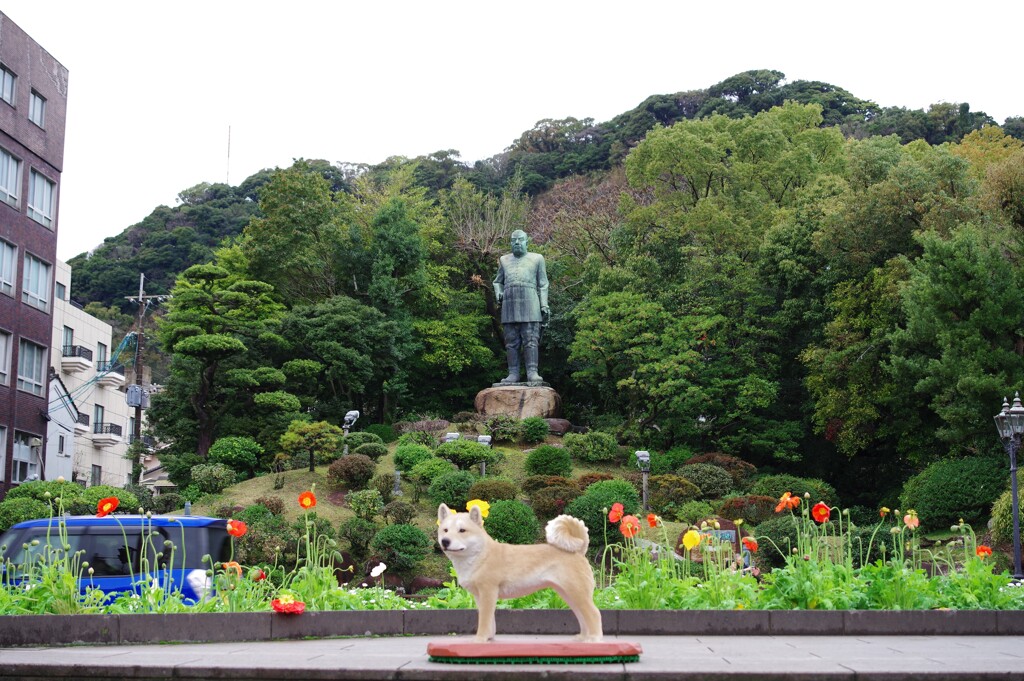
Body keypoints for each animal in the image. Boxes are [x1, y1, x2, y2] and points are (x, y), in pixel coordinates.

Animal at [438, 501, 598, 639]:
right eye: (445, 530)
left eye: (462, 530)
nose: (445, 541)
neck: (480, 555)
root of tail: (579, 551)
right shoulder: (479, 596)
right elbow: (490, 621)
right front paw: (489, 638)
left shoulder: (488, 592)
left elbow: (484, 620)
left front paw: (480, 639)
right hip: (569, 595)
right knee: (582, 616)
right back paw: (584, 638)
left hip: (577, 592)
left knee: (594, 614)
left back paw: (594, 639)